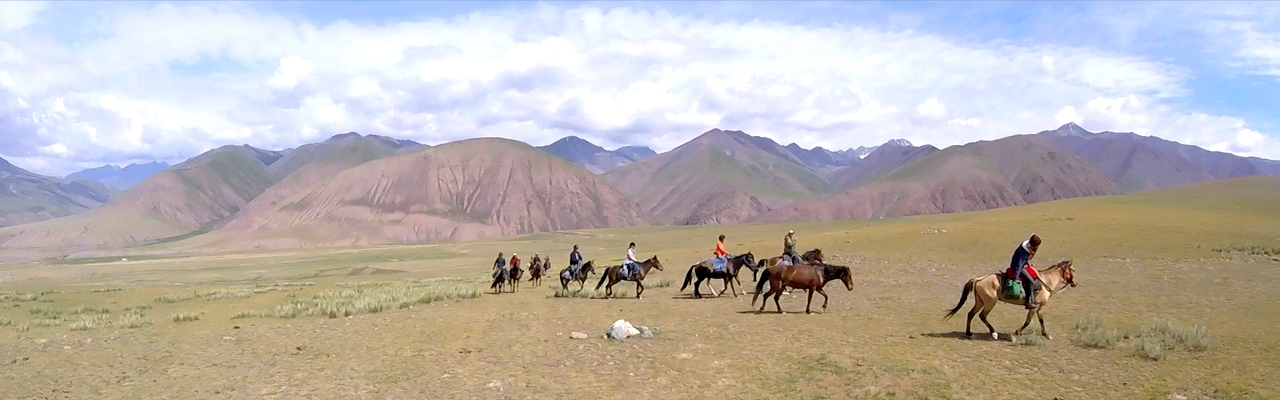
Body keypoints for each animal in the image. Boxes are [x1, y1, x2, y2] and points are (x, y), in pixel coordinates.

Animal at [947, 258, 1075, 341]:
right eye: (1073, 270)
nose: (1075, 283)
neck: (1045, 280)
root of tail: (979, 279)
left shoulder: (1040, 307)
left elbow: (1041, 320)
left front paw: (1046, 334)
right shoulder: (1034, 307)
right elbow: (1028, 321)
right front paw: (1017, 332)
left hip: (980, 301)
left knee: (971, 314)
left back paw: (969, 334)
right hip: (990, 302)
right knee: (982, 316)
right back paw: (993, 333)